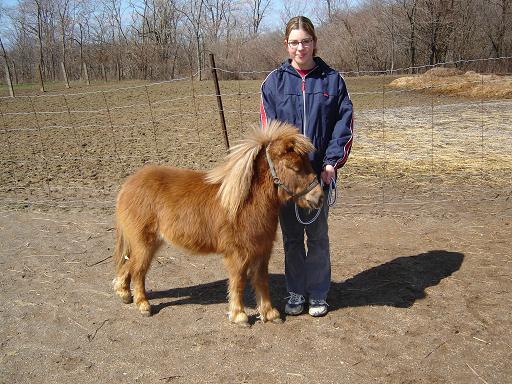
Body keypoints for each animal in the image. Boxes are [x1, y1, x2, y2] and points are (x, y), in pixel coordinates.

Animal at [114, 121, 326, 326]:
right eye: (294, 167)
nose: (319, 197)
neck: (244, 203)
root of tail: (128, 184)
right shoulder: (238, 254)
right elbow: (238, 282)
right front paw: (239, 315)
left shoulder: (262, 251)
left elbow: (261, 280)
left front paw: (269, 313)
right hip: (145, 244)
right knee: (138, 270)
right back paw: (143, 304)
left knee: (128, 266)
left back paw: (124, 293)